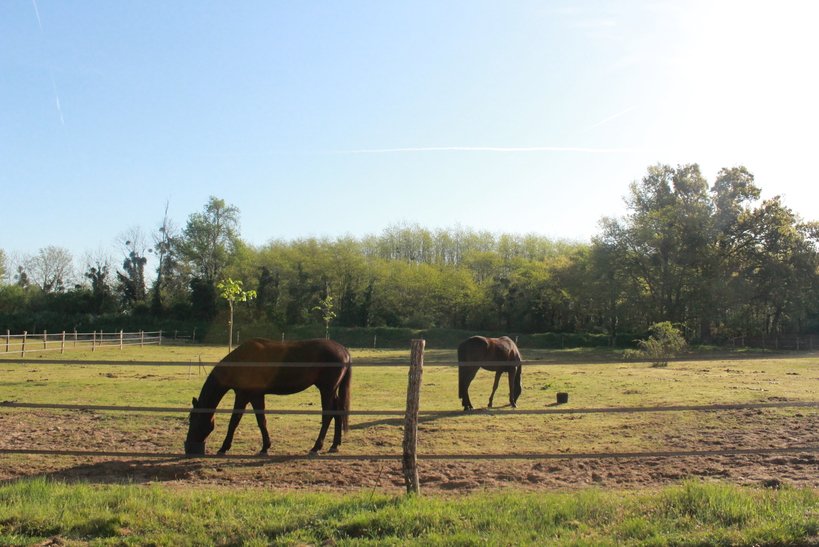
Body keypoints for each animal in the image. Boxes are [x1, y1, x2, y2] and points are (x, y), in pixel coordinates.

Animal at [184, 338, 351, 456]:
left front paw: (224, 448)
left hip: (327, 390)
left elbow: (234, 421)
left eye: (194, 419)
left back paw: (316, 447)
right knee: (337, 411)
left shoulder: (243, 396)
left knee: (328, 415)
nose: (189, 446)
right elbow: (261, 420)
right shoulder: (256, 396)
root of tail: (343, 350)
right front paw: (265, 447)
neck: (242, 361)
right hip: (332, 390)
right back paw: (334, 445)